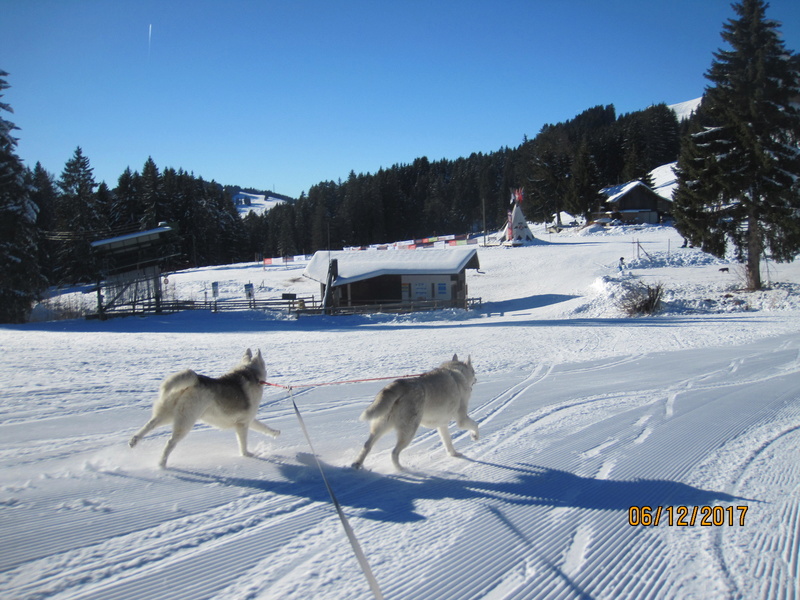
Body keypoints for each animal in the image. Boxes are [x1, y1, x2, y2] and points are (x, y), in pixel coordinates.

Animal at [129, 346, 282, 468]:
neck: (250, 373)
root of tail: (195, 381)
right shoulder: (243, 424)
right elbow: (243, 444)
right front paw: (247, 455)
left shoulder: (248, 420)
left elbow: (264, 427)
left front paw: (275, 433)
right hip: (186, 422)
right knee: (170, 442)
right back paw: (161, 464)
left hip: (167, 415)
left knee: (149, 425)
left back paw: (134, 441)